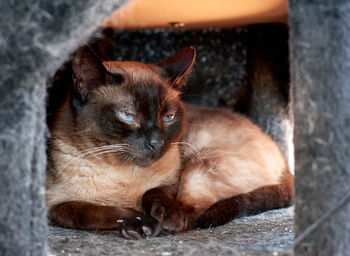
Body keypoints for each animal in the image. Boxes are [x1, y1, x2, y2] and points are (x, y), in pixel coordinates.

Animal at [45, 45, 292, 239]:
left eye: (168, 117)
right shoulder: (53, 206)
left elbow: (156, 192)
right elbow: (96, 211)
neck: (124, 178)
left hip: (198, 165)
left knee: (194, 214)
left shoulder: (172, 180)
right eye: (128, 115)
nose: (156, 141)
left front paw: (158, 218)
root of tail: (284, 160)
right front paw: (138, 222)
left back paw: (165, 222)